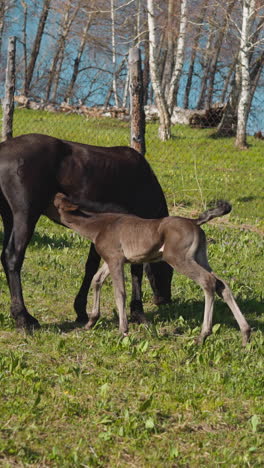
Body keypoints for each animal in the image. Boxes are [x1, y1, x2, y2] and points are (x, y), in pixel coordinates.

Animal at [54, 192, 252, 346]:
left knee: (208, 281)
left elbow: (120, 292)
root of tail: (194, 222)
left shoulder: (115, 259)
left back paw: (204, 335)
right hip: (199, 256)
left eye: (58, 201)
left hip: (178, 258)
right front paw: (91, 322)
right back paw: (245, 334)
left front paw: (122, 331)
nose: (56, 194)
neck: (97, 227)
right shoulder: (113, 259)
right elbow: (97, 279)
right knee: (221, 284)